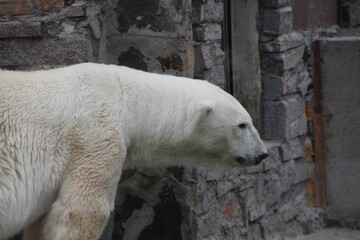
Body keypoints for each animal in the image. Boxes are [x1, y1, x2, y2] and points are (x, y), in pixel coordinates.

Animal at [0, 63, 268, 240]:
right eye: (242, 125)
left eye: (249, 120)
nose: (262, 153)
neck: (124, 98)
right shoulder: (95, 136)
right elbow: (82, 212)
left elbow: (41, 221)